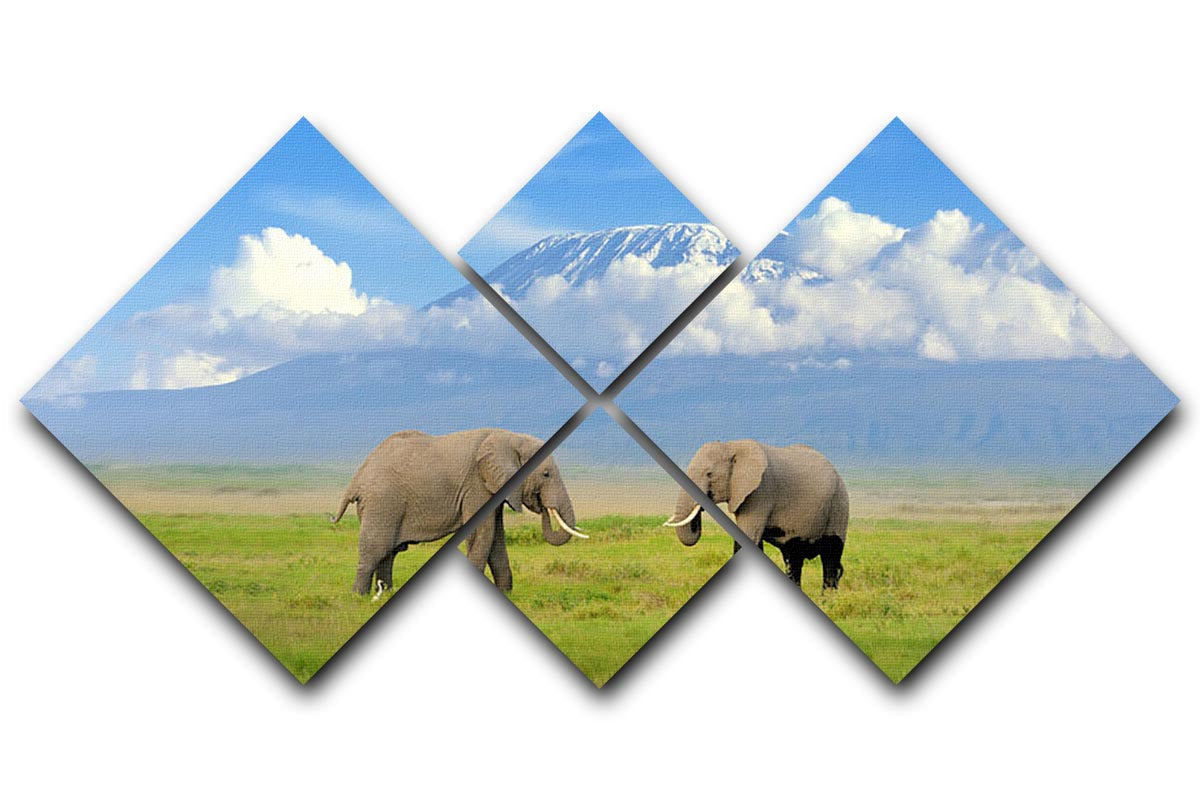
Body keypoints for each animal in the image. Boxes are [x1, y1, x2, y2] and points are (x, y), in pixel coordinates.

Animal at [331, 428, 584, 596]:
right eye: (546, 474)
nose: (543, 505)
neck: (510, 438)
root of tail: (357, 478)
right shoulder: (476, 485)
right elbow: (483, 535)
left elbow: (496, 538)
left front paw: (507, 594)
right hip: (382, 503)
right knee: (375, 549)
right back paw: (360, 597)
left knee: (389, 553)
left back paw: (386, 592)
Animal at [664, 440, 849, 589]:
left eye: (709, 474)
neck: (732, 446)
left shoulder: (760, 492)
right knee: (794, 557)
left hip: (839, 504)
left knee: (831, 555)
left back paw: (828, 601)